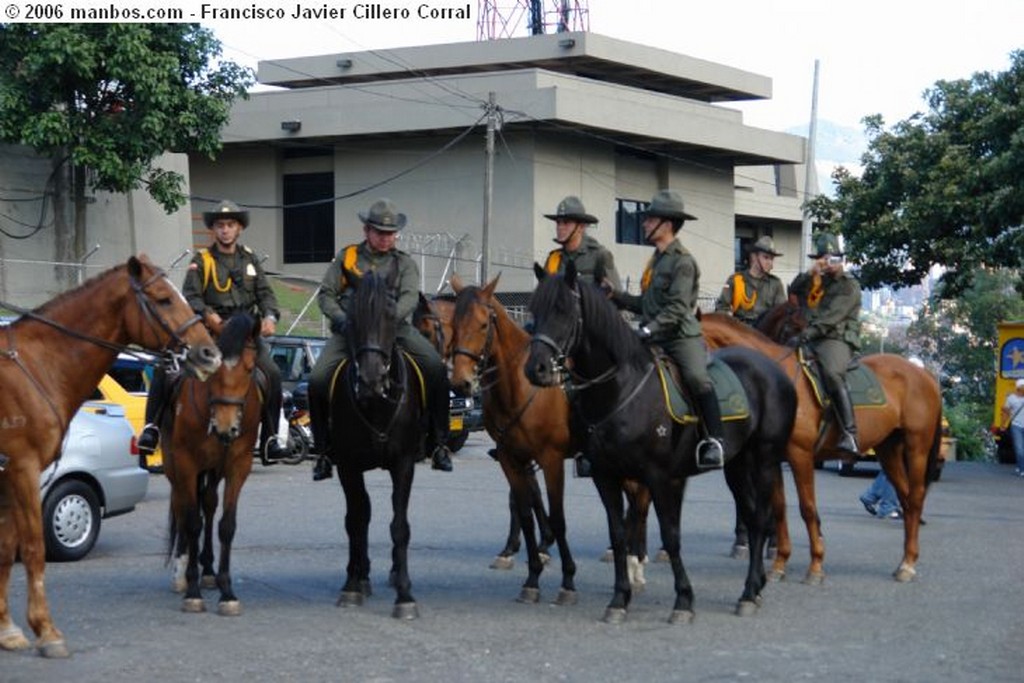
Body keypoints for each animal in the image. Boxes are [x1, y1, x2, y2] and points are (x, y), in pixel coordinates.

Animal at [0, 255, 220, 655]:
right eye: (164, 298)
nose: (210, 354)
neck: (36, 364)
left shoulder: (8, 474)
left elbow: (7, 549)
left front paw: (8, 629)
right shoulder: (23, 469)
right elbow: (35, 548)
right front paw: (46, 630)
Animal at [161, 313, 262, 618]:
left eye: (250, 368)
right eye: (215, 371)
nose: (226, 428)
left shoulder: (238, 466)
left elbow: (226, 525)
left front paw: (227, 591)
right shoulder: (185, 463)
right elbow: (192, 522)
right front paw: (192, 590)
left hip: (214, 469)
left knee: (208, 503)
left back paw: (208, 570)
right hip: (175, 467)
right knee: (182, 507)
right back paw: (182, 572)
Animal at [327, 262, 423, 618]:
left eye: (391, 311)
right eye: (352, 315)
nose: (370, 379)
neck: (377, 404)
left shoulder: (404, 463)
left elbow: (400, 525)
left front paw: (405, 595)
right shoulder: (348, 465)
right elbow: (356, 520)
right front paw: (352, 585)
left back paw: (394, 575)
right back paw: (362, 575)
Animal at [524, 264, 794, 626]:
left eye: (563, 310)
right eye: (534, 312)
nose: (535, 369)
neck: (620, 390)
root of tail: (774, 369)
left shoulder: (660, 477)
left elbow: (670, 536)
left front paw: (683, 600)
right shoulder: (605, 476)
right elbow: (618, 535)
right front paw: (619, 599)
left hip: (764, 460)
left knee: (762, 519)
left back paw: (750, 592)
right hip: (737, 466)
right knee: (752, 519)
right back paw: (754, 587)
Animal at [704, 309, 942, 581]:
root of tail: (924, 374)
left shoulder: (801, 455)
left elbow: (807, 508)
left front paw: (816, 565)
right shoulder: (773, 459)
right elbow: (779, 508)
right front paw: (780, 563)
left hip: (916, 448)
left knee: (916, 498)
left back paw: (908, 564)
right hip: (889, 451)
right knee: (906, 499)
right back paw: (904, 561)